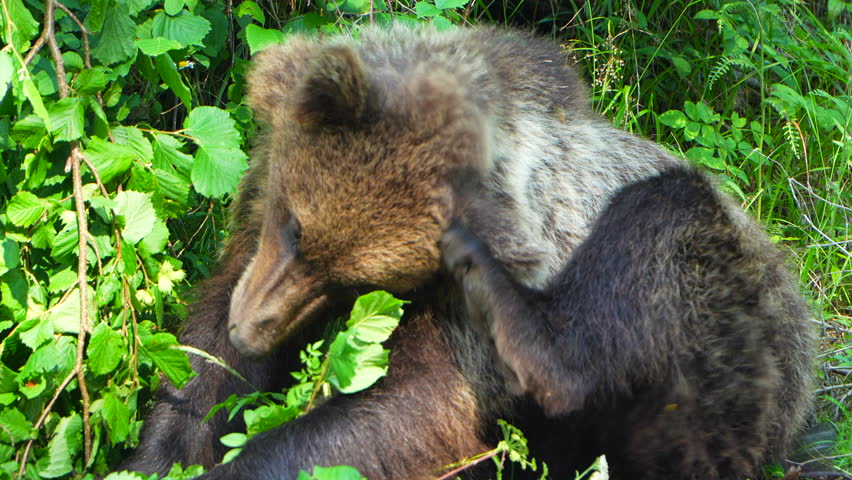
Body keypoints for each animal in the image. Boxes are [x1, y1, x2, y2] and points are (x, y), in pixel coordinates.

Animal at [120, 25, 814, 480]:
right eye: (293, 228)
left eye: (352, 282)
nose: (252, 326)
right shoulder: (257, 211)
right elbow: (204, 366)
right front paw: (159, 449)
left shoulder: (466, 320)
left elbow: (409, 411)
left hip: (729, 322)